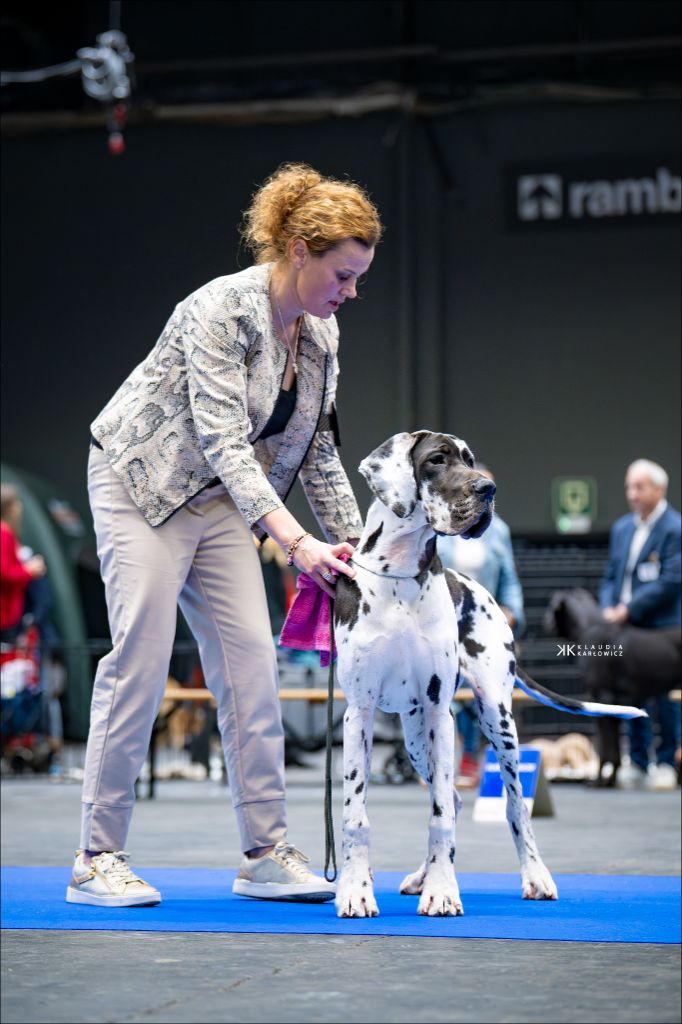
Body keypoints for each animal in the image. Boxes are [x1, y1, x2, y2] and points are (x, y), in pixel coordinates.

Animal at [540, 589, 679, 778]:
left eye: (550, 605)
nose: (544, 620)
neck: (589, 627)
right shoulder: (615, 707)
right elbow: (615, 754)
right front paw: (611, 778)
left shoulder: (600, 700)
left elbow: (604, 751)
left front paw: (599, 780)